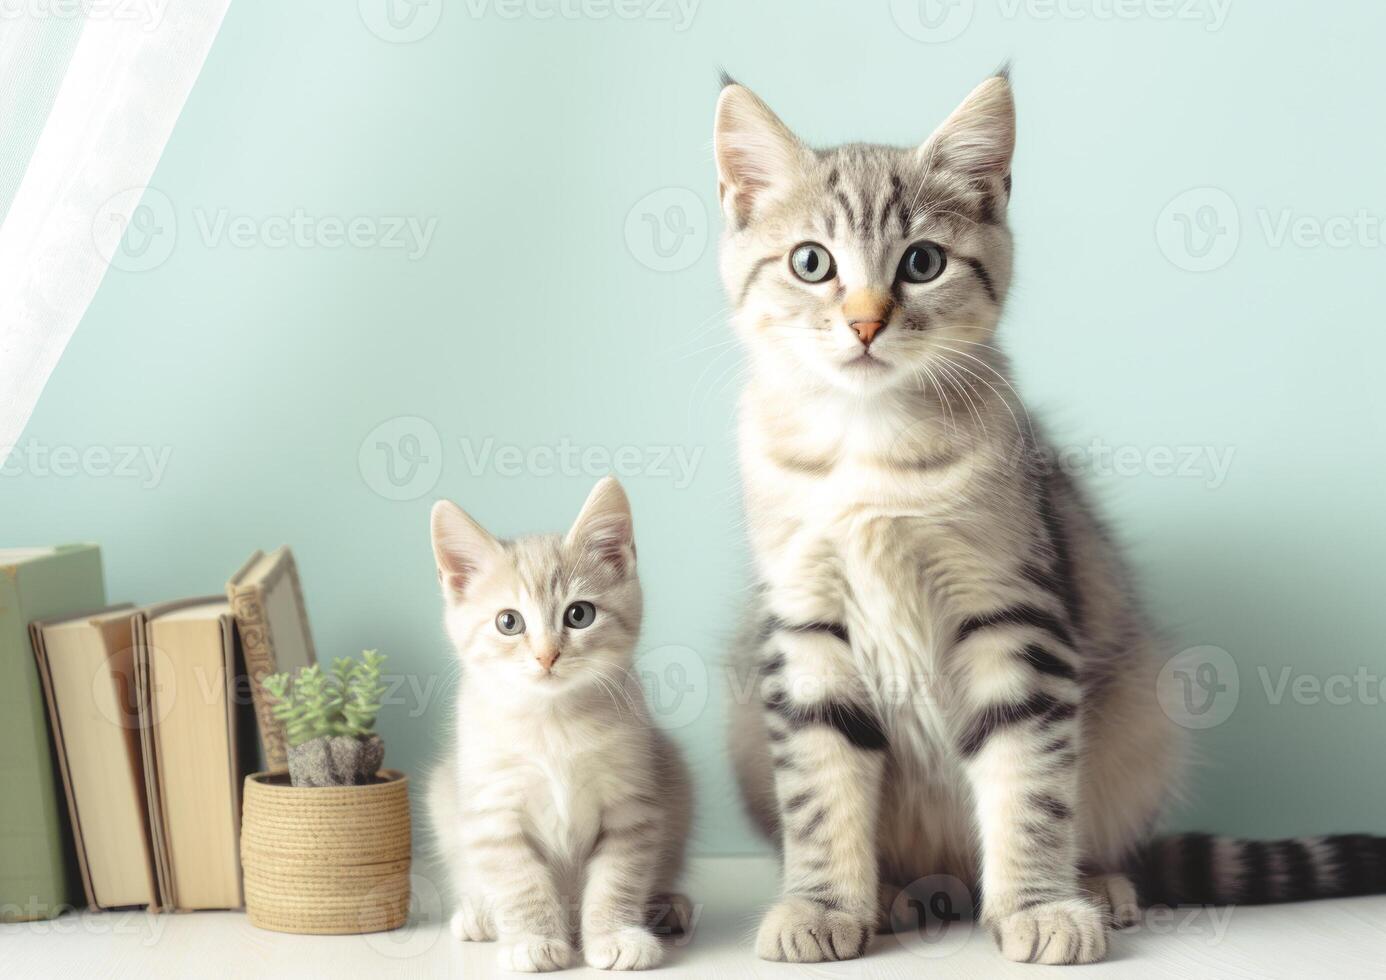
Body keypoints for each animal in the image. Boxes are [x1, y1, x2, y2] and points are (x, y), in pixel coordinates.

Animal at [424, 479, 690, 970]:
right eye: (508, 622)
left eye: (579, 614)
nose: (547, 655)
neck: (553, 722)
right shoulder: (493, 810)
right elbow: (519, 882)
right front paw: (532, 940)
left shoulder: (631, 805)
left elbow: (617, 878)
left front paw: (615, 935)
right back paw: (479, 916)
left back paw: (666, 905)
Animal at [715, 71, 1386, 964]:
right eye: (811, 262)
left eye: (922, 262)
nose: (865, 321)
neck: (869, 443)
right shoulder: (806, 628)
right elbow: (822, 791)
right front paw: (822, 904)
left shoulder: (1014, 614)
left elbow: (1028, 781)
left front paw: (1038, 905)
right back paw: (902, 893)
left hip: (1143, 720)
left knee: (1095, 829)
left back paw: (1094, 884)